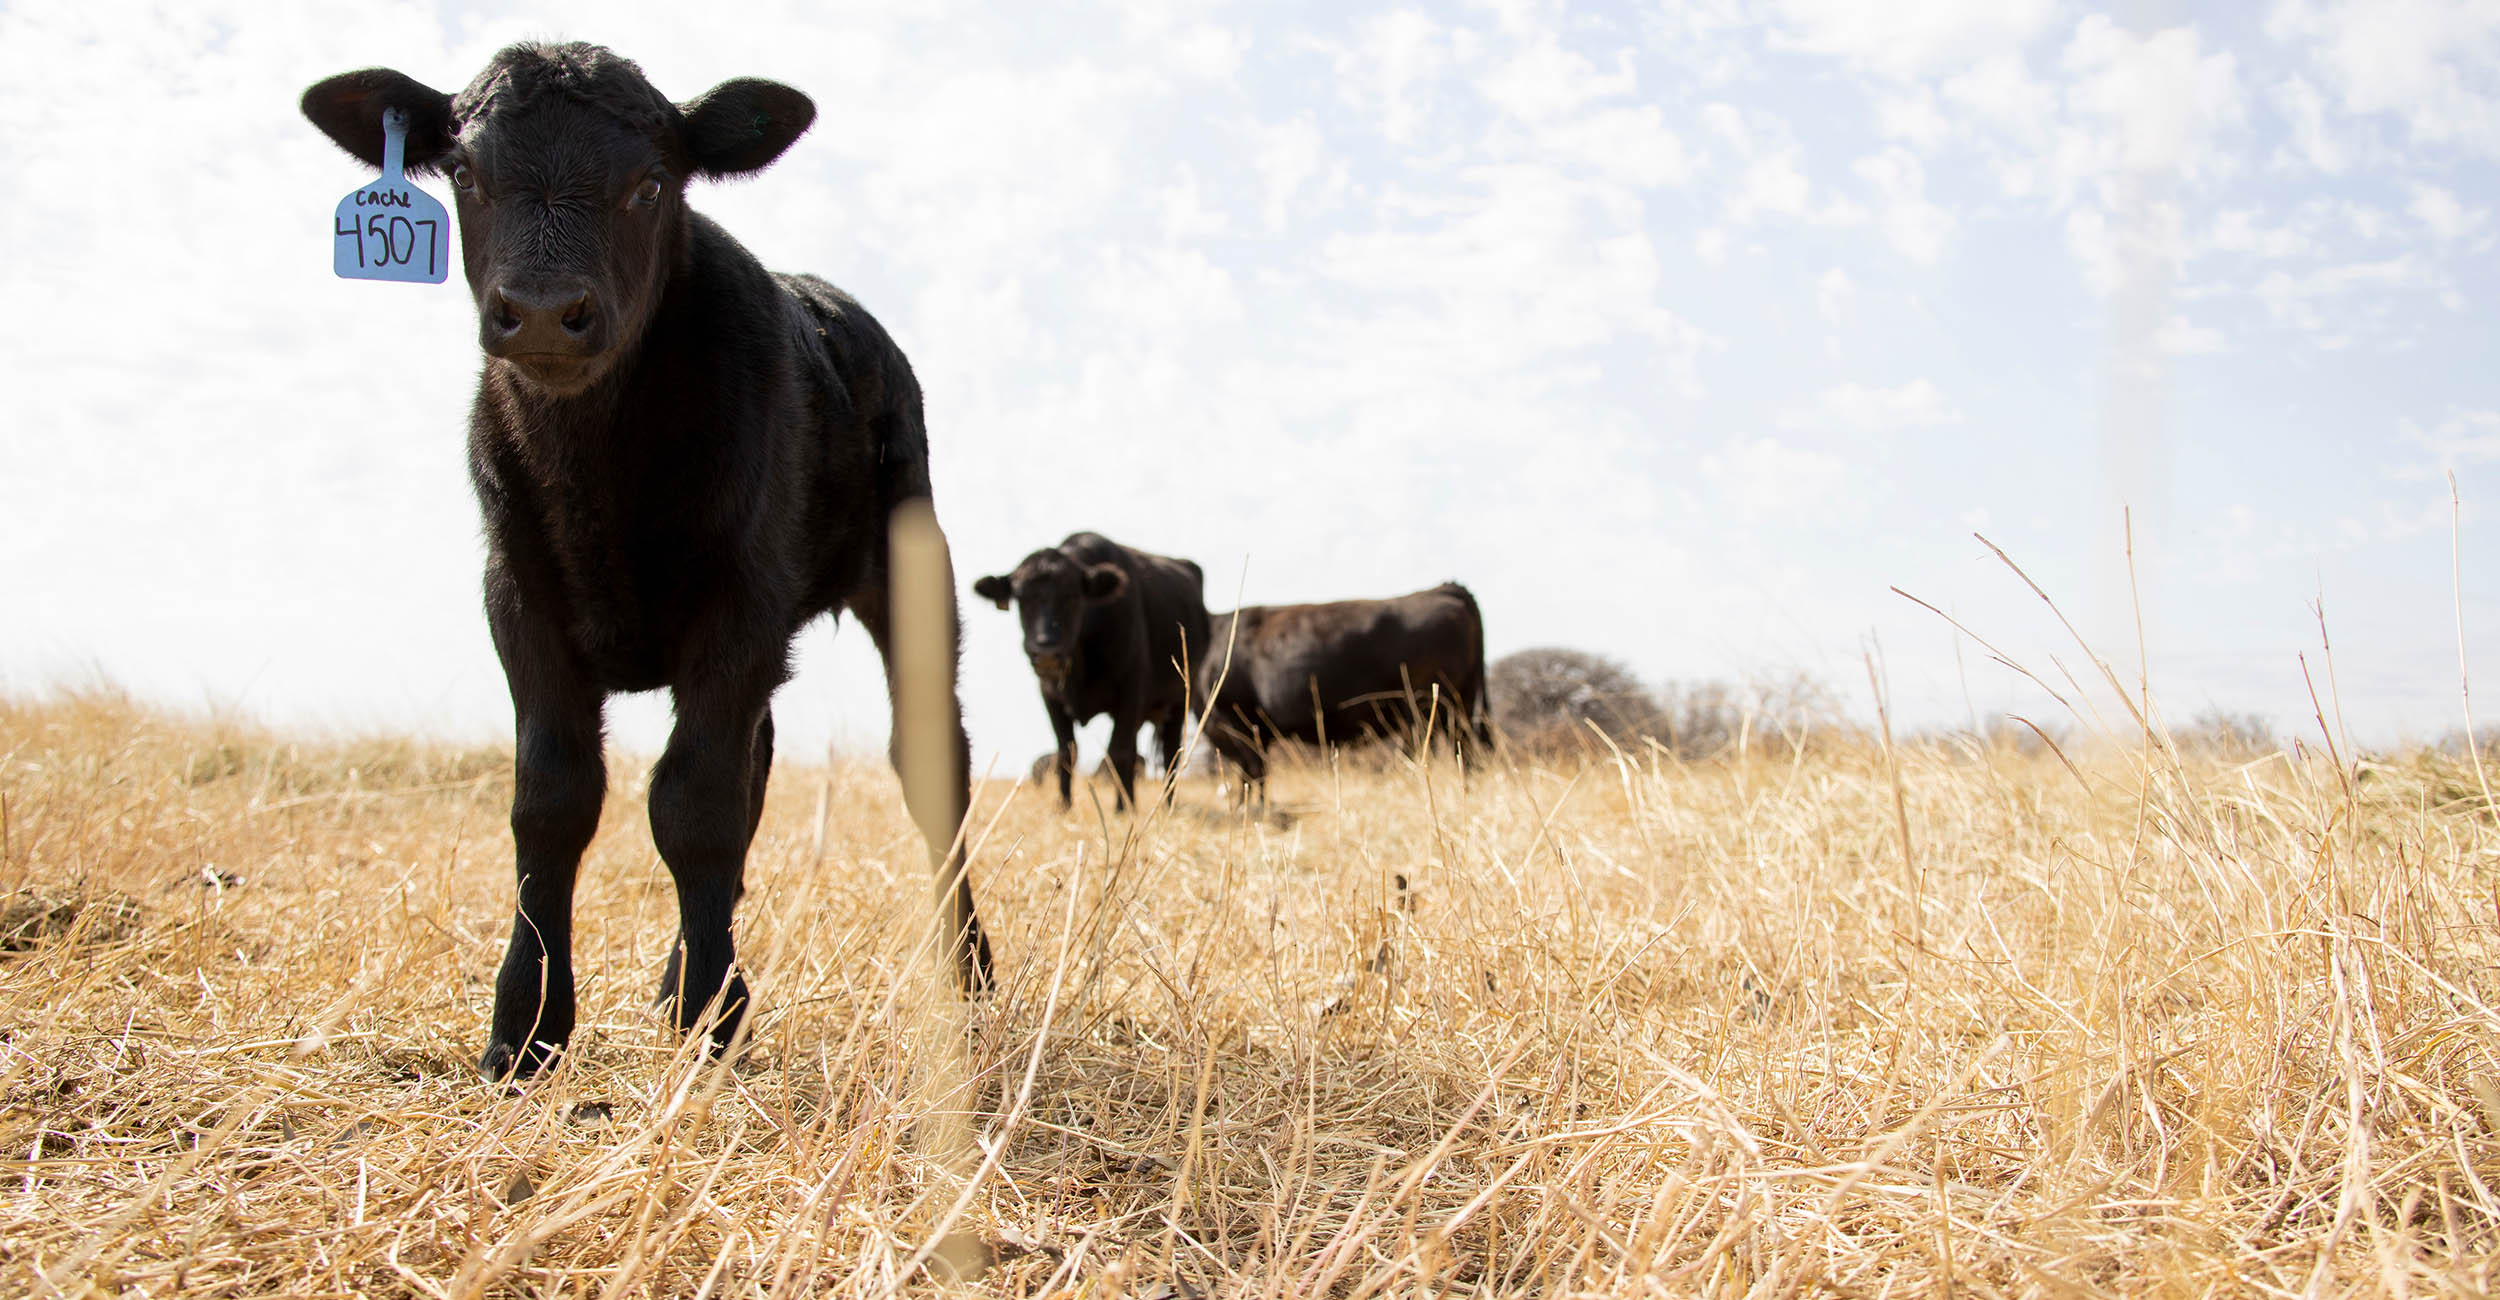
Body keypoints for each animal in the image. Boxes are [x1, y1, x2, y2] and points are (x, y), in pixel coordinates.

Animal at [301, 43, 991, 1080]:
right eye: (463, 172)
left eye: (651, 184)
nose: (546, 312)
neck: (599, 475)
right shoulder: (518, 598)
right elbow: (553, 799)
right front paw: (528, 1028)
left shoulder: (741, 601)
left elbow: (692, 803)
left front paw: (711, 1015)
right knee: (757, 760)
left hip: (912, 566)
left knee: (926, 759)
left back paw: (968, 972)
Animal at [972, 533, 1208, 810]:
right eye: (1021, 599)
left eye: (1072, 597)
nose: (1046, 652)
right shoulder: (1050, 695)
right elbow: (1066, 752)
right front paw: (1064, 806)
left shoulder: (1132, 691)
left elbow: (1119, 752)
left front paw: (1122, 810)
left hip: (1178, 700)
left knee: (1169, 753)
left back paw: (1164, 804)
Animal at [1195, 583, 1494, 797]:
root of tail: (1445, 588)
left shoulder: (1239, 721)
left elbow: (1253, 772)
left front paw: (1255, 811)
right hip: (1461, 703)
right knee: (1464, 747)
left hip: (1422, 705)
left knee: (1425, 747)